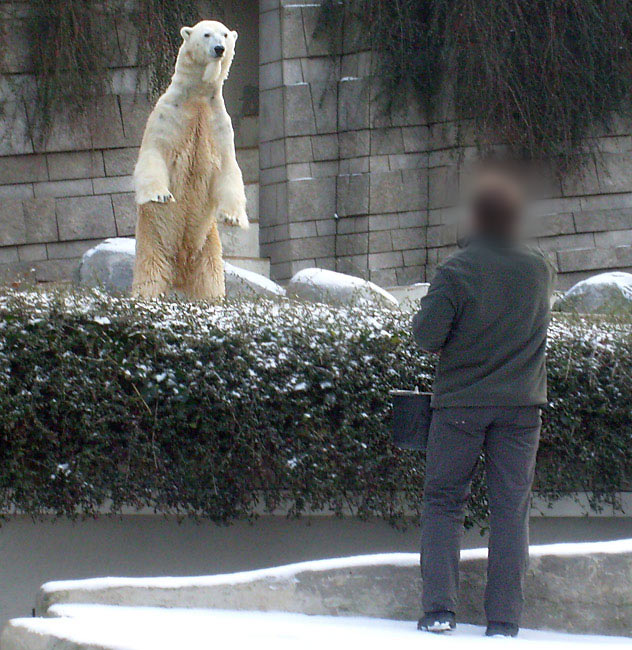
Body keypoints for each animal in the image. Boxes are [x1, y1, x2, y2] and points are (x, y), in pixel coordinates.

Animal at [132, 19, 248, 298]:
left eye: (225, 35)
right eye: (206, 34)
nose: (219, 49)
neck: (197, 96)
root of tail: (180, 271)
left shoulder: (219, 124)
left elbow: (229, 168)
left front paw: (232, 217)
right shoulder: (169, 115)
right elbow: (154, 154)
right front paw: (160, 195)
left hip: (208, 245)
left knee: (211, 282)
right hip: (152, 240)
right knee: (149, 276)